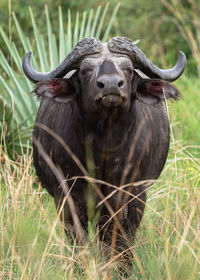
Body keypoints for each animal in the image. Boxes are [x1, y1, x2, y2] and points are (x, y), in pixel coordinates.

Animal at [22, 36, 186, 252]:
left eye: (128, 69)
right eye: (85, 70)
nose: (110, 86)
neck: (105, 149)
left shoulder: (134, 198)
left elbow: (120, 243)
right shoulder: (67, 200)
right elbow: (80, 244)